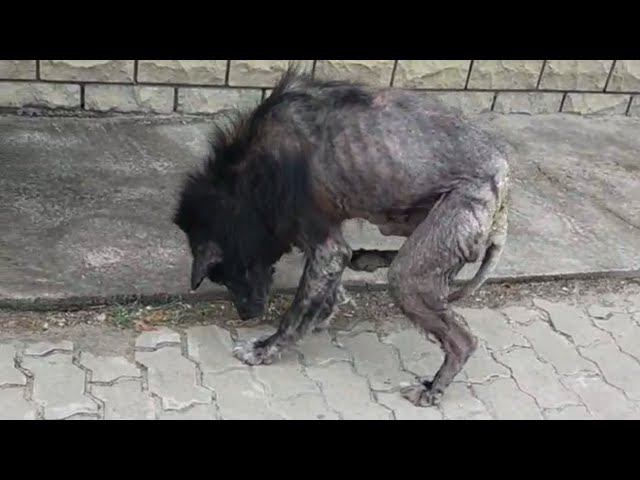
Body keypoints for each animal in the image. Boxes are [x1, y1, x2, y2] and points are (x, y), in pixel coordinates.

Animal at [173, 65, 509, 407]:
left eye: (226, 273)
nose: (245, 316)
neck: (243, 181)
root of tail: (502, 179)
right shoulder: (329, 245)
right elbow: (325, 289)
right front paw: (323, 311)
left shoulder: (326, 246)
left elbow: (296, 311)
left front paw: (268, 348)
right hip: (402, 220)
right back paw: (371, 259)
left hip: (411, 274)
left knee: (461, 338)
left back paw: (432, 388)